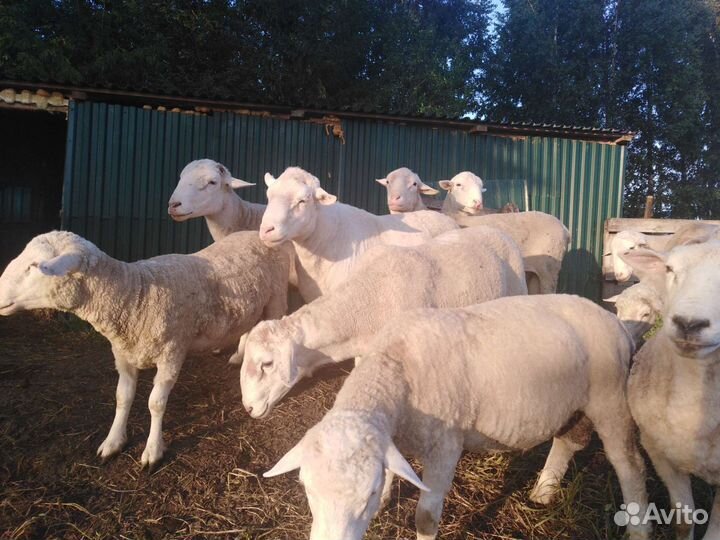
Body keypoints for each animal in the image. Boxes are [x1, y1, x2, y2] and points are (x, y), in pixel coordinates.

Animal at [0, 230, 289, 469]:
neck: (136, 295)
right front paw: (113, 442)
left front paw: (152, 451)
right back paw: (239, 356)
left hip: (276, 299)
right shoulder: (123, 355)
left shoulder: (172, 354)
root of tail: (254, 232)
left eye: (34, 266)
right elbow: (122, 397)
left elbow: (155, 403)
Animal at [263, 295, 651, 540]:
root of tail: (615, 322)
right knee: (567, 441)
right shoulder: (392, 440)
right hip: (574, 402)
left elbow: (426, 517)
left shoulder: (445, 446)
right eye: (307, 488)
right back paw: (543, 492)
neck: (395, 366)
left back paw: (639, 528)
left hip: (610, 399)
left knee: (629, 463)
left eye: (367, 494)